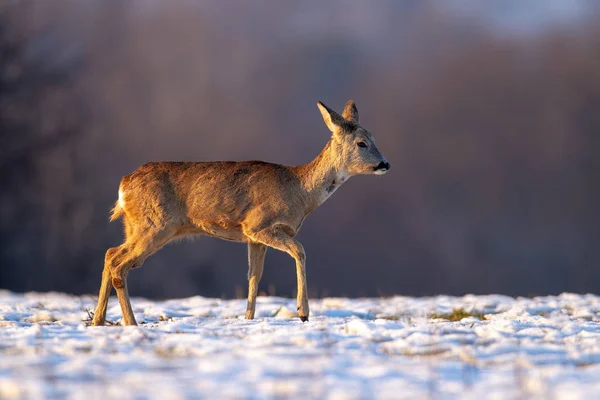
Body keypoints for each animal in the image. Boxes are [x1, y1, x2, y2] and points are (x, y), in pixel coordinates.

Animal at [89, 100, 390, 324]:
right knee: (118, 263)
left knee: (110, 254)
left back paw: (98, 321)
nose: (385, 164)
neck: (301, 191)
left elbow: (254, 277)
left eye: (374, 138)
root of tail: (123, 186)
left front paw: (249, 318)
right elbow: (299, 250)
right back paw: (130, 323)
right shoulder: (258, 224)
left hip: (138, 226)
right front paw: (303, 313)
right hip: (155, 225)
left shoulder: (254, 239)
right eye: (361, 143)